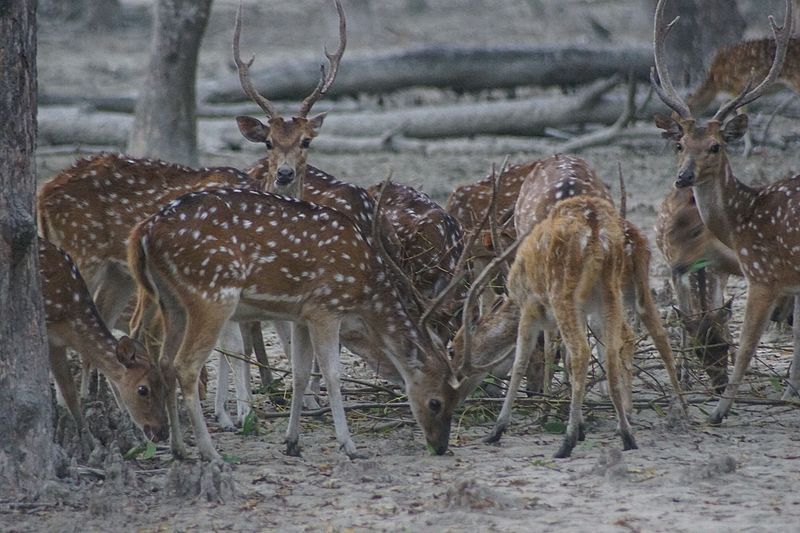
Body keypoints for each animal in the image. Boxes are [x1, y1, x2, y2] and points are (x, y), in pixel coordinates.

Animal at [126, 188, 462, 462]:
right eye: (436, 402)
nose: (441, 446)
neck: (366, 290)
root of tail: (143, 231)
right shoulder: (326, 306)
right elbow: (332, 375)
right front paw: (349, 446)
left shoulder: (302, 315)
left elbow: (300, 373)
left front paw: (292, 442)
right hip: (211, 293)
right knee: (186, 366)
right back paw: (210, 452)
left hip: (171, 302)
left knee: (165, 363)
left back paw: (179, 449)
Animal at [648, 0, 800, 418]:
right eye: (680, 144)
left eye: (716, 146)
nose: (683, 177)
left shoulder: (762, 273)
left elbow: (746, 343)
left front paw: (721, 410)